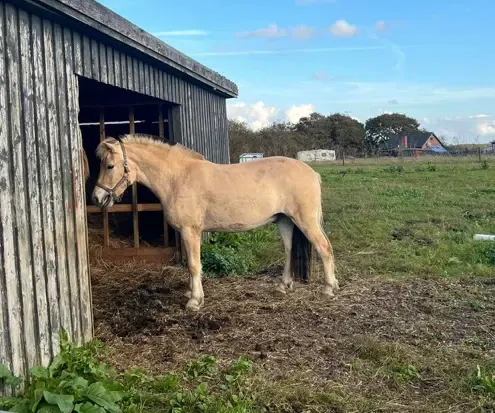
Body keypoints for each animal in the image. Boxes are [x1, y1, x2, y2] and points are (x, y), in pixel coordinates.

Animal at [90, 134, 340, 310]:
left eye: (110, 166)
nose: (97, 198)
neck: (177, 178)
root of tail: (312, 172)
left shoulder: (190, 231)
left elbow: (194, 265)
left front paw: (194, 301)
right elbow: (192, 266)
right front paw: (192, 294)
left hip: (305, 221)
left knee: (324, 248)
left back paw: (329, 289)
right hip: (285, 221)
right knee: (289, 250)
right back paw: (283, 286)